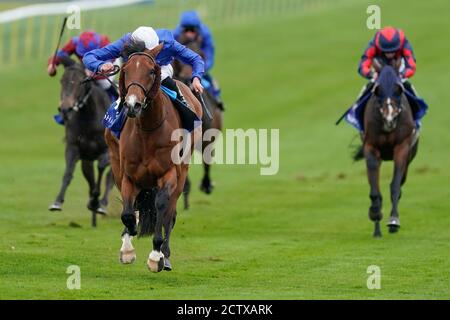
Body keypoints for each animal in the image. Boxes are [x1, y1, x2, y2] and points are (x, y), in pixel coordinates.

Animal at [48, 57, 115, 228]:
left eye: (80, 82)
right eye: (62, 80)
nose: (65, 109)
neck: (89, 118)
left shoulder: (107, 151)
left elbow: (102, 169)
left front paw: (97, 202)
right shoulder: (74, 148)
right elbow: (68, 173)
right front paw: (57, 202)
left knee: (110, 178)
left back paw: (101, 204)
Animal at [103, 43, 202, 272]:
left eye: (150, 71)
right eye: (125, 70)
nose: (133, 105)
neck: (148, 129)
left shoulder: (169, 173)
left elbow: (162, 207)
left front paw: (156, 255)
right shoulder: (128, 175)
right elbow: (129, 213)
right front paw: (127, 248)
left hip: (182, 172)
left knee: (170, 214)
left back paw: (165, 256)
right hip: (116, 164)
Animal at [172, 33, 223, 209]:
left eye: (201, 53)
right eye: (179, 59)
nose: (189, 77)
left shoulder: (208, 136)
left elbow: (207, 161)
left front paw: (207, 185)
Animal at [356, 58, 418, 238]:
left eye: (398, 91)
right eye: (378, 92)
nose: (390, 119)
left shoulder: (402, 148)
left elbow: (395, 186)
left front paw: (393, 221)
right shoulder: (371, 148)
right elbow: (374, 191)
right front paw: (375, 214)